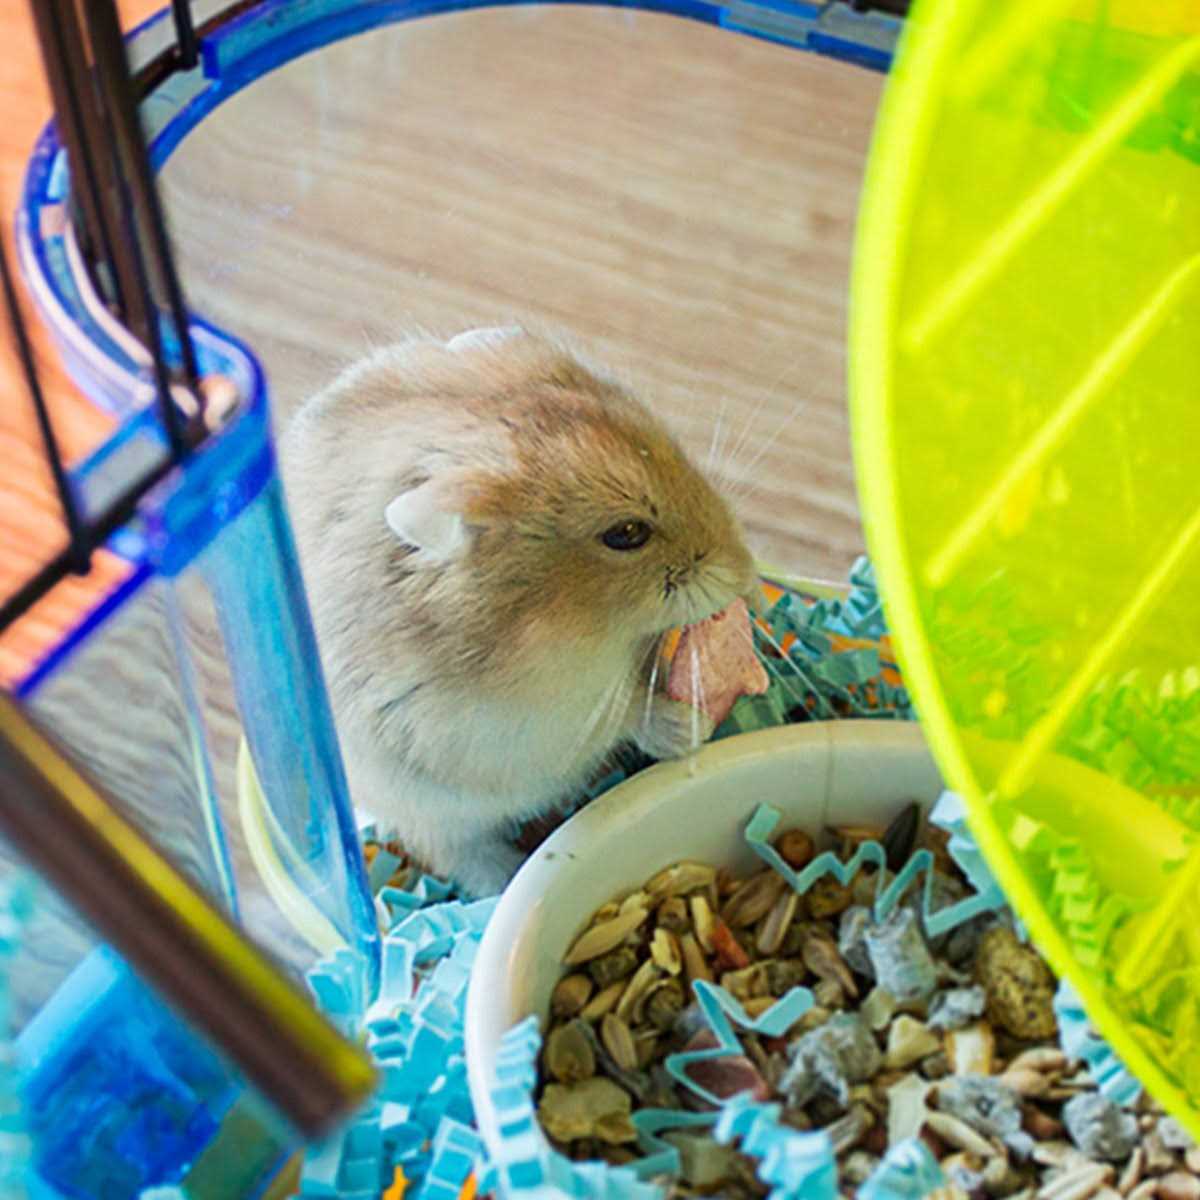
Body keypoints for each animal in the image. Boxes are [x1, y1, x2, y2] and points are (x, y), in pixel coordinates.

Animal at [281, 327, 757, 896]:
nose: (748, 572)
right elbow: (623, 717)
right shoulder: (521, 732)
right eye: (627, 533)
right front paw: (690, 727)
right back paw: (502, 882)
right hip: (425, 812)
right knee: (460, 856)